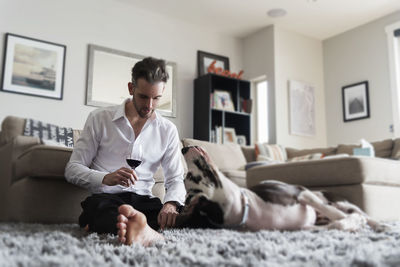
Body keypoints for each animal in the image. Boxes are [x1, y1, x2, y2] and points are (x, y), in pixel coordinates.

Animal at [177, 147, 390, 232]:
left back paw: (380, 224)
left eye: (189, 177)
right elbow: (336, 225)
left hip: (337, 200)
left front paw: (356, 222)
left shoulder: (300, 191)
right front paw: (353, 224)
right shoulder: (302, 228)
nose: (183, 149)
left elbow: (335, 215)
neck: (246, 209)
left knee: (350, 210)